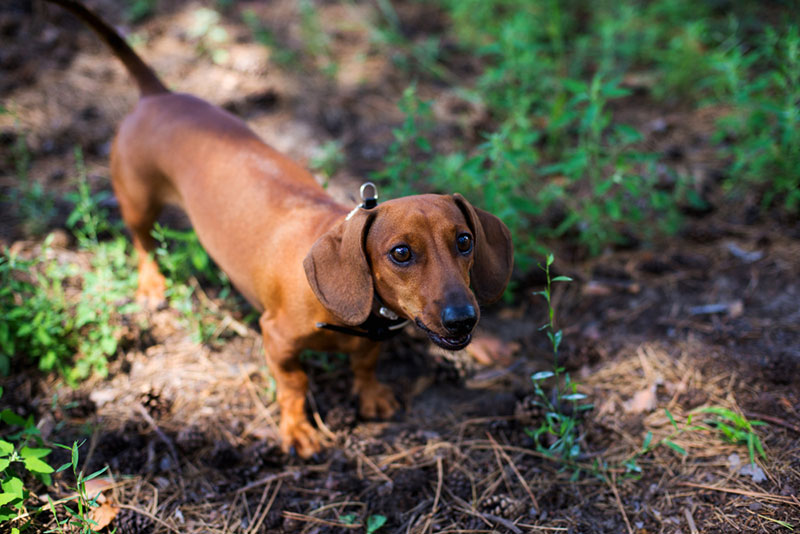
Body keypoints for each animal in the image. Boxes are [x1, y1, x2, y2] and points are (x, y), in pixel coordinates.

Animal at [48, 2, 512, 458]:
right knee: (143, 242)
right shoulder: (276, 339)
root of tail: (157, 95)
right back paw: (151, 285)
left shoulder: (370, 340)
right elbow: (294, 386)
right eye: (401, 253)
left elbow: (365, 363)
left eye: (465, 241)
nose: (463, 321)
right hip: (138, 202)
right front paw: (298, 430)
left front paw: (372, 395)